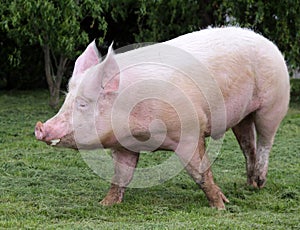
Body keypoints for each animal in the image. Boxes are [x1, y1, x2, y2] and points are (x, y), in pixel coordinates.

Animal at [34, 26, 290, 208]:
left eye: (83, 103)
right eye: (67, 99)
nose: (40, 127)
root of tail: (267, 41)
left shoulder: (190, 130)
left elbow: (200, 172)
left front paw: (221, 206)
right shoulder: (124, 144)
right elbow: (121, 175)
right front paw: (105, 204)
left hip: (274, 103)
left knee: (266, 140)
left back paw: (260, 183)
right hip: (242, 116)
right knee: (248, 145)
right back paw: (250, 185)